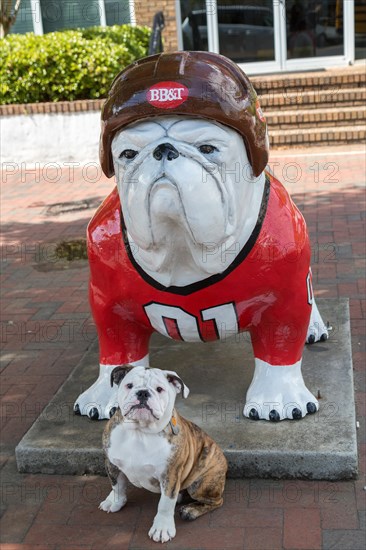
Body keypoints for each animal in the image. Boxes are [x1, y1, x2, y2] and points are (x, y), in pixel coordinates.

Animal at [98, 366, 227, 544]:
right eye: (129, 385)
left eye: (159, 389)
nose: (143, 393)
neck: (140, 431)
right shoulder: (112, 463)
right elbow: (116, 485)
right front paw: (115, 501)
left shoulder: (170, 475)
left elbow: (165, 504)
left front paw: (161, 528)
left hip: (201, 483)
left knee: (215, 501)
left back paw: (190, 511)